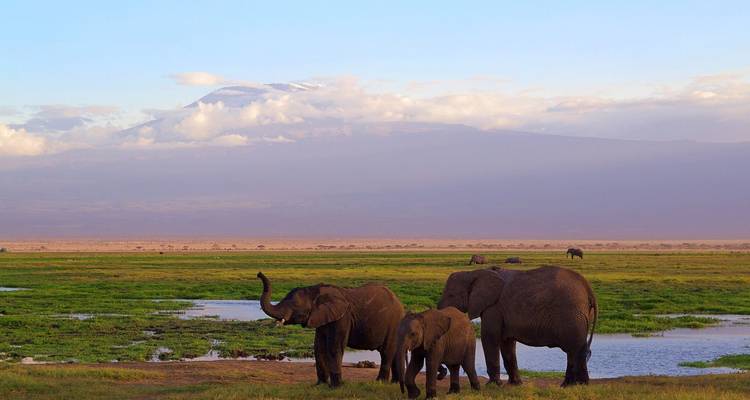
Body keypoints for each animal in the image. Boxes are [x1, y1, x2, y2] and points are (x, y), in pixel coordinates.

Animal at [257, 272, 405, 387]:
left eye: (295, 305)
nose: (258, 274)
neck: (315, 291)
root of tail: (400, 303)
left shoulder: (342, 318)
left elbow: (334, 347)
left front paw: (336, 387)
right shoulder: (322, 318)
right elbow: (319, 347)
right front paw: (320, 386)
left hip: (393, 323)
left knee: (386, 352)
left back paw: (380, 383)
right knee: (395, 352)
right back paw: (395, 383)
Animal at [438, 266, 597, 387]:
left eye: (451, 295)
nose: (441, 374)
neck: (474, 273)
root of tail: (588, 288)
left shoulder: (494, 308)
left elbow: (490, 338)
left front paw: (492, 385)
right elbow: (507, 343)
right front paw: (515, 384)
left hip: (572, 315)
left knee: (573, 349)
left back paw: (572, 385)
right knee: (577, 350)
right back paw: (577, 385)